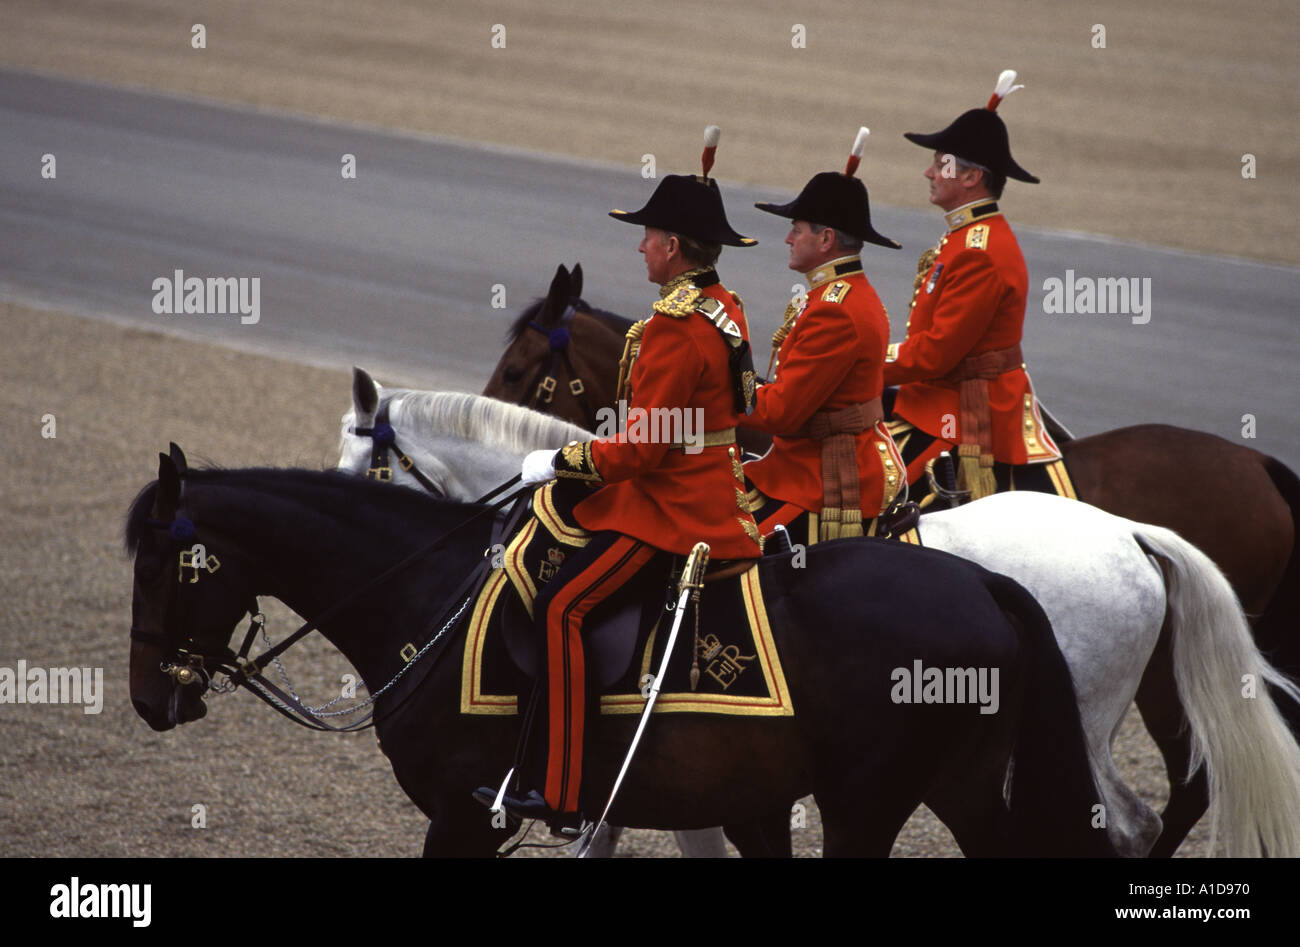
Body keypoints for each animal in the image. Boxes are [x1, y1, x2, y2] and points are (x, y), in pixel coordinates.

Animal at [126, 447, 1112, 853]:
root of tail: (980, 580)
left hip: (865, 802)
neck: (429, 594)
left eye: (166, 561)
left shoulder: (465, 816)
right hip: (961, 785)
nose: (148, 698)